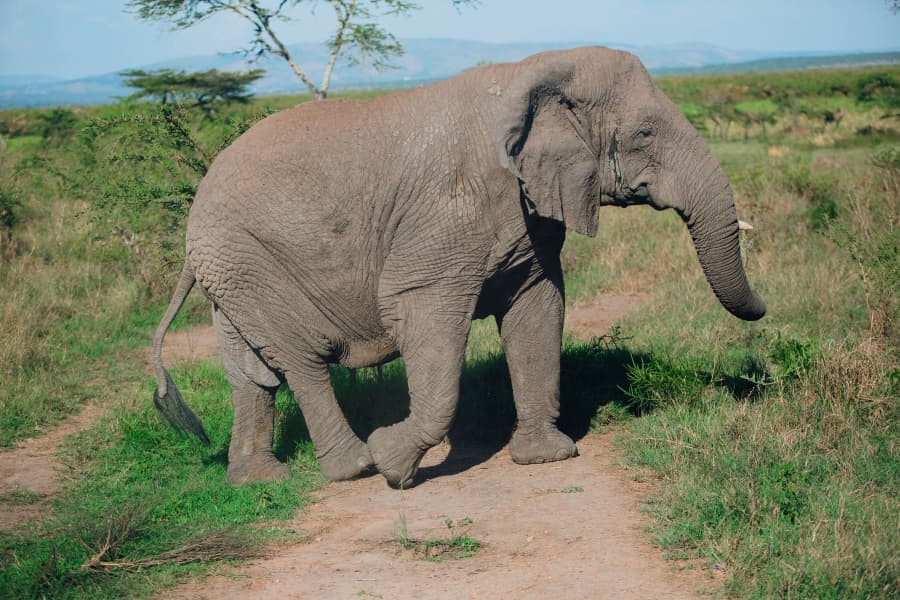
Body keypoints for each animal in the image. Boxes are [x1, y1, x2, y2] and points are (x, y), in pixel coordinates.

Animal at [152, 46, 765, 489]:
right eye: (645, 133)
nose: (763, 313)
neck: (532, 73)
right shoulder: (449, 211)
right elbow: (423, 315)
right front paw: (394, 463)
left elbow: (538, 310)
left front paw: (546, 458)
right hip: (246, 259)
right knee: (301, 361)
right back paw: (356, 467)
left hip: (232, 269)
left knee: (251, 374)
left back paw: (258, 480)